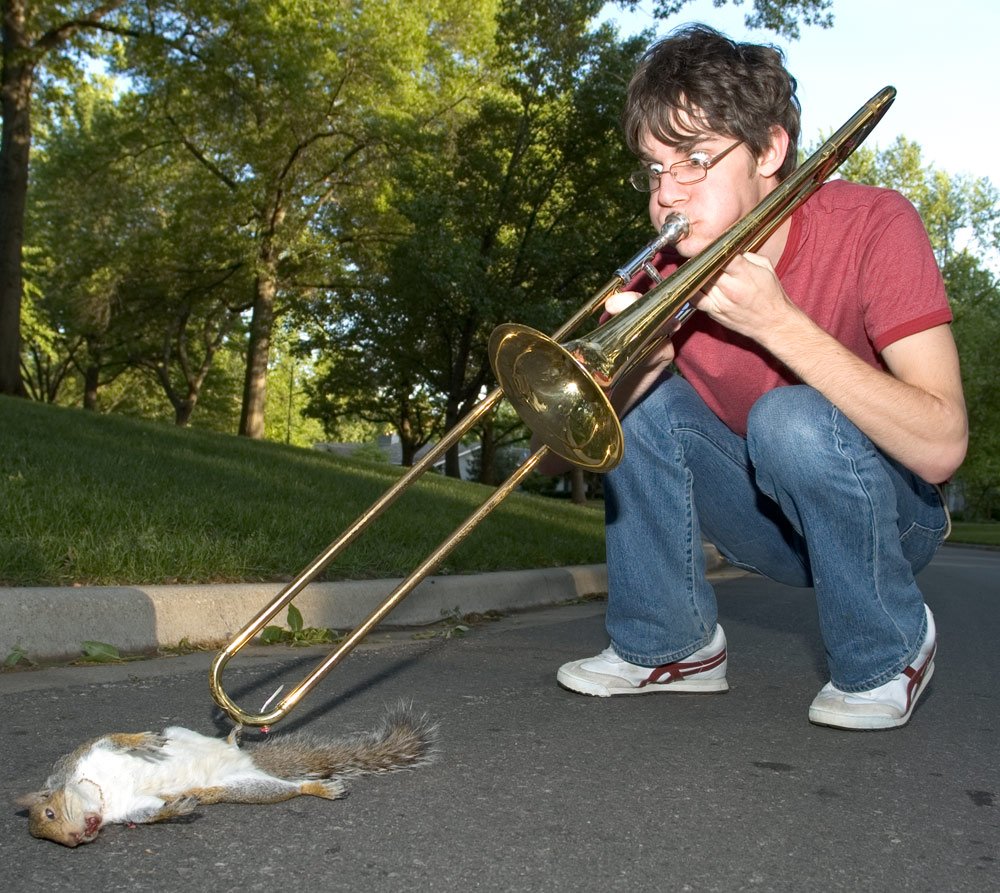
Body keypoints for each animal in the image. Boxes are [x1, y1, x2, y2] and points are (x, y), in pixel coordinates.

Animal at [17, 704, 436, 844]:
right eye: (56, 841)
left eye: (49, 812)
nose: (78, 838)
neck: (99, 793)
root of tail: (246, 763)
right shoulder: (129, 811)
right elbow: (149, 813)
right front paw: (177, 809)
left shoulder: (85, 753)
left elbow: (117, 738)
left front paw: (144, 740)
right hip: (247, 788)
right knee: (290, 788)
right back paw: (317, 787)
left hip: (201, 744)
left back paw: (235, 731)